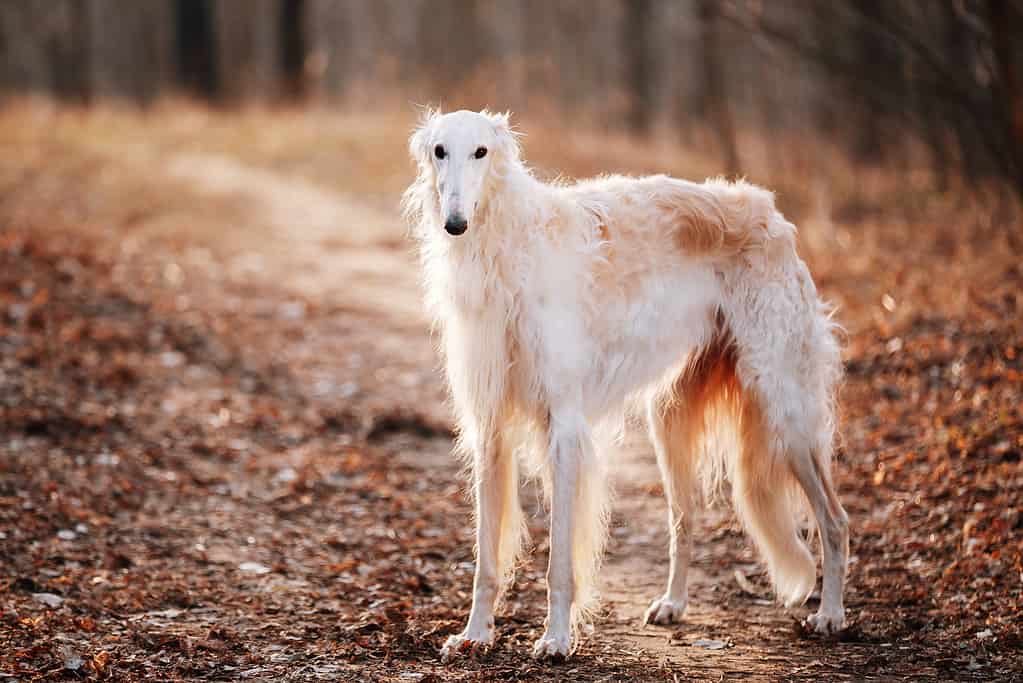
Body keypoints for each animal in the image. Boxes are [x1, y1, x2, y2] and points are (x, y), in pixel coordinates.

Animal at [403, 109, 851, 658]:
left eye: (481, 152)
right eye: (440, 150)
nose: (455, 224)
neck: (508, 249)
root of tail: (771, 214)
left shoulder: (563, 426)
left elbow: (559, 562)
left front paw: (556, 639)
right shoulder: (489, 426)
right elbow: (486, 559)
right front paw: (474, 634)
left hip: (785, 409)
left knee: (835, 520)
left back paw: (831, 614)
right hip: (671, 418)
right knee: (685, 518)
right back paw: (673, 603)